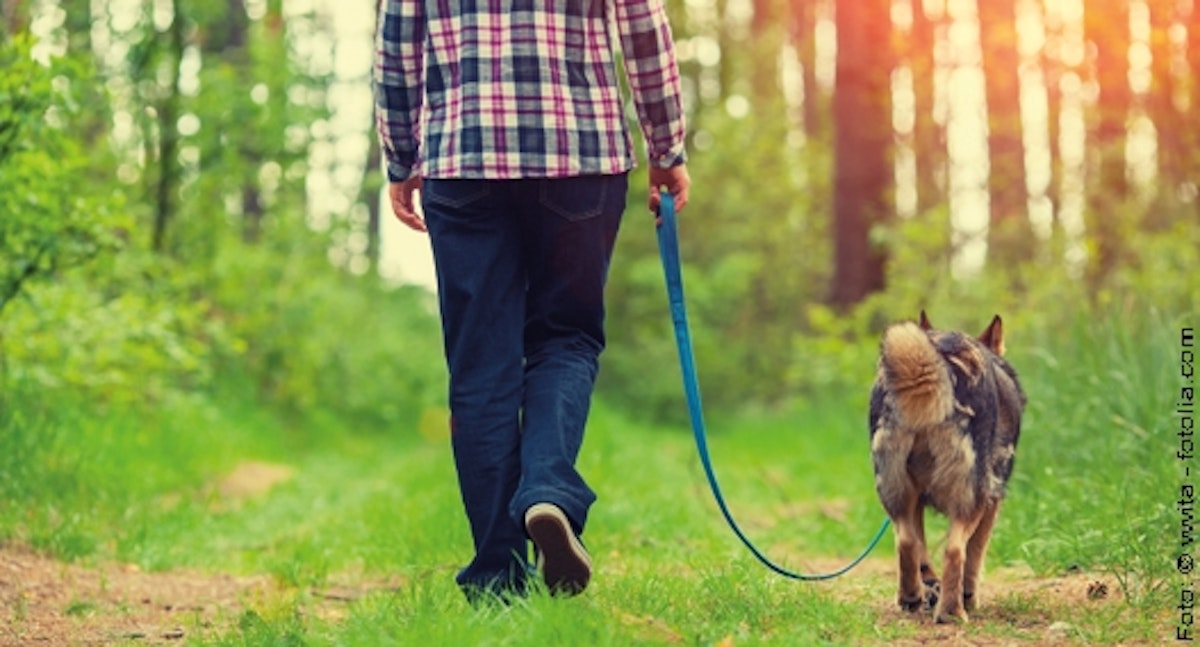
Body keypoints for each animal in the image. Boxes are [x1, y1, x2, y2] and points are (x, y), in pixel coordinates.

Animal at [868, 312, 1027, 624]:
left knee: (906, 543)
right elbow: (974, 555)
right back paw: (952, 612)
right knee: (955, 551)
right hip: (970, 498)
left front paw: (929, 587)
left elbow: (921, 551)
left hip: (896, 494)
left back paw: (911, 597)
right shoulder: (991, 502)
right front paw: (969, 597)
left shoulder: (917, 501)